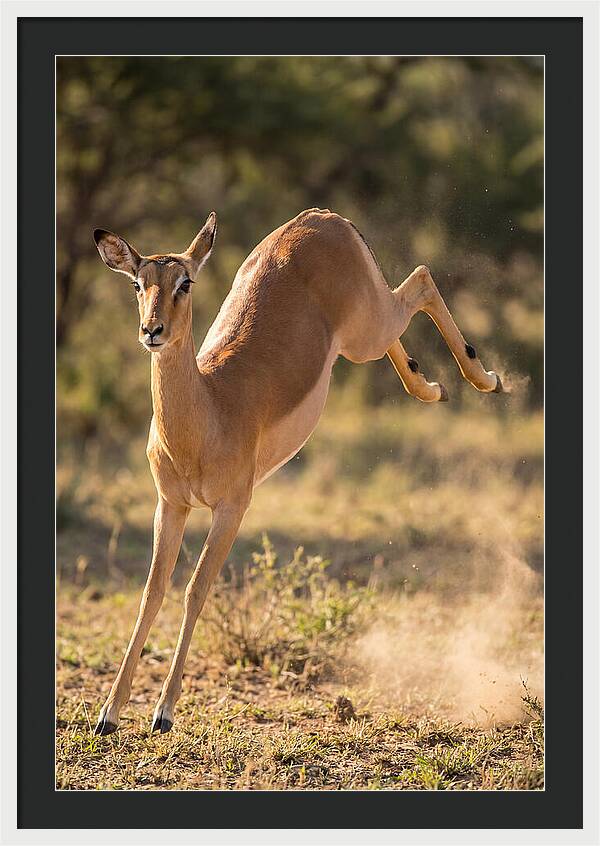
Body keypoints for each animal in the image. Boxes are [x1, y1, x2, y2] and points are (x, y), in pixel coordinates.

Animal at [92, 208, 502, 736]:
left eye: (185, 282)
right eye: (138, 284)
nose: (152, 331)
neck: (208, 410)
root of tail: (323, 217)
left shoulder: (232, 508)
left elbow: (195, 589)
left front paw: (163, 712)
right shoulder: (171, 504)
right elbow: (151, 593)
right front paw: (108, 713)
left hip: (366, 330)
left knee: (423, 279)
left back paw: (485, 379)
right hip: (362, 335)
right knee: (408, 310)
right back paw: (432, 387)